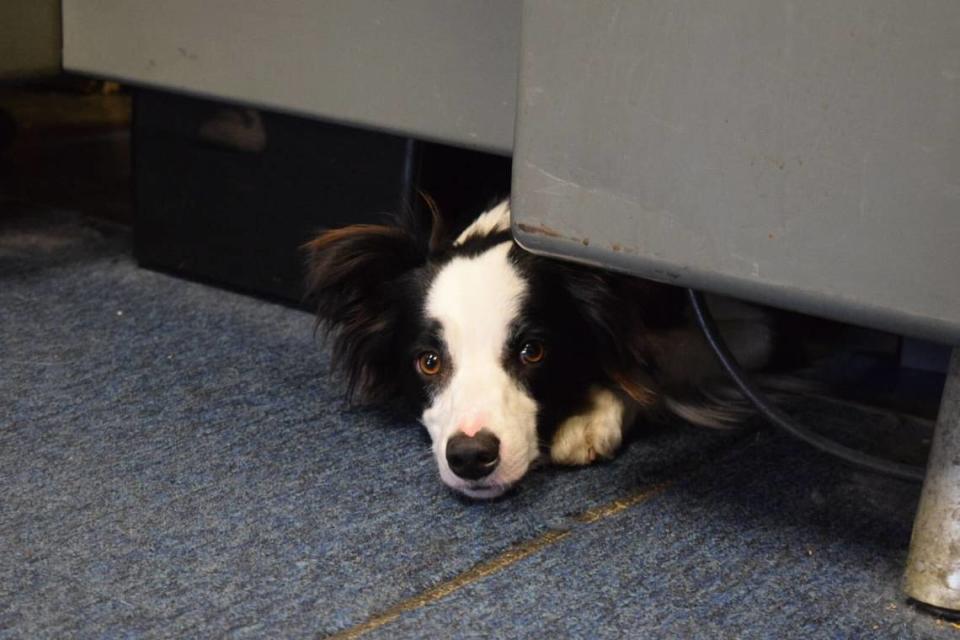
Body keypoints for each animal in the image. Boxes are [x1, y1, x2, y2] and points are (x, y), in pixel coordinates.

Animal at [308, 200, 772, 500]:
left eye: (532, 351)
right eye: (429, 362)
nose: (471, 457)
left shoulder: (750, 333)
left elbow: (645, 364)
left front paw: (591, 416)